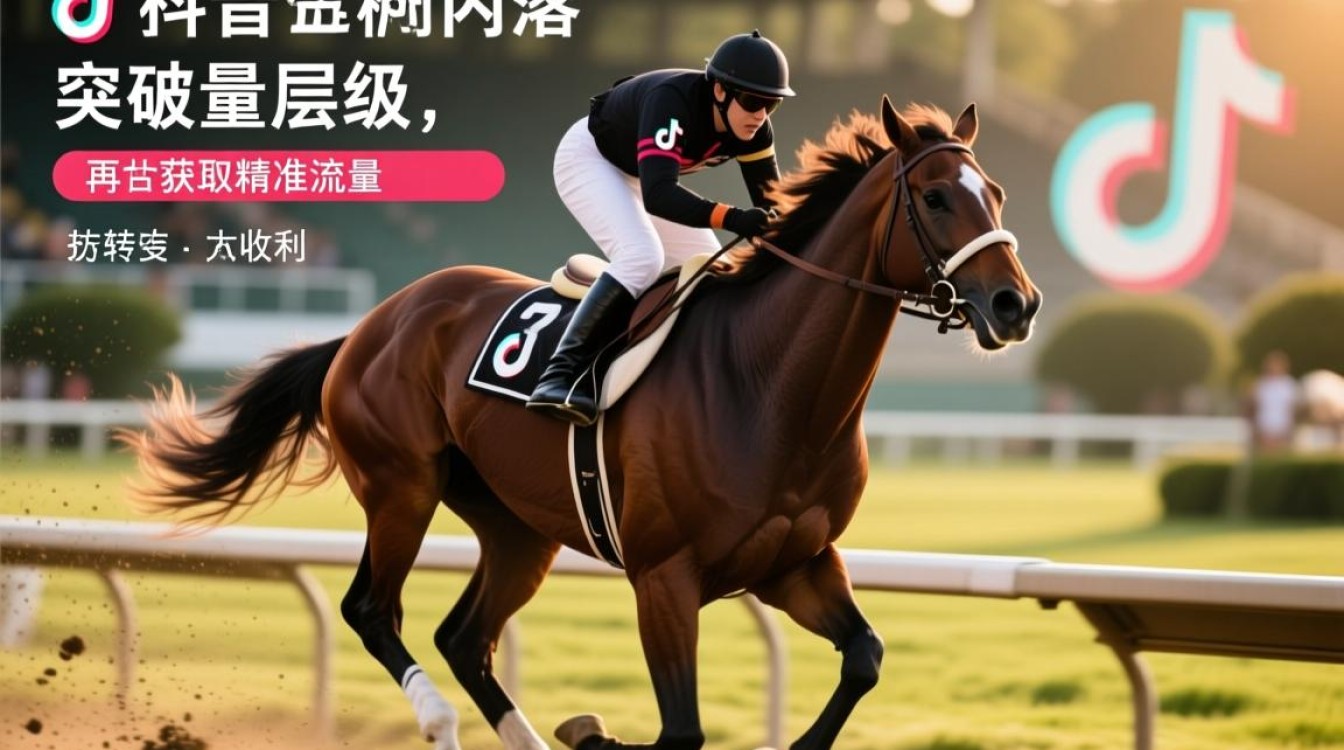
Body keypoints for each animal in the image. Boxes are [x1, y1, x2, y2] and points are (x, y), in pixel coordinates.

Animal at [123, 96, 1040, 750]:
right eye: (935, 197)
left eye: (996, 193)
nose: (1016, 304)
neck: (768, 387)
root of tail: (369, 325)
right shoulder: (664, 577)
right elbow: (681, 731)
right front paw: (595, 730)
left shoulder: (795, 564)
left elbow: (864, 661)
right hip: (400, 487)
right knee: (373, 612)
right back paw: (439, 721)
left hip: (517, 526)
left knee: (465, 637)